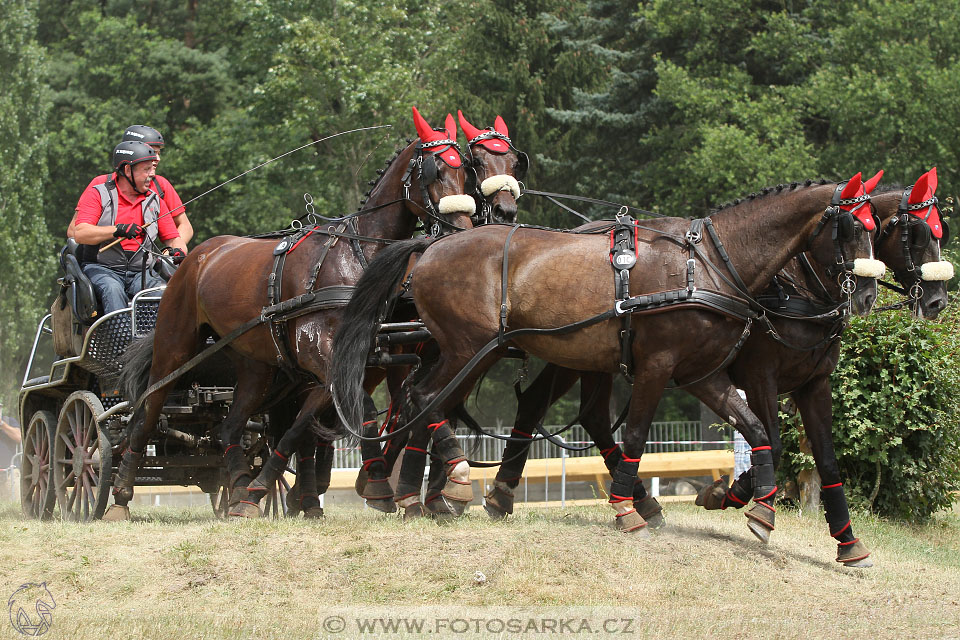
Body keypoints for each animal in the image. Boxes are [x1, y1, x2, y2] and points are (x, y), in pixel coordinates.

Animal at [110, 109, 478, 520]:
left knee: (230, 426)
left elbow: (302, 427)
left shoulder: (343, 366)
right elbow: (362, 410)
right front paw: (379, 484)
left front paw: (262, 491)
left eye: (464, 169)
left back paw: (240, 486)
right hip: (175, 348)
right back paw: (120, 494)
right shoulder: (324, 357)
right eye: (434, 170)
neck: (354, 256)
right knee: (147, 412)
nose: (463, 230)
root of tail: (196, 257)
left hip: (255, 366)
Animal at [332, 171, 884, 536]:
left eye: (877, 226)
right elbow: (637, 432)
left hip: (475, 352)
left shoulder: (701, 374)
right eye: (850, 228)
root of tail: (429, 248)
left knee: (426, 401)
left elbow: (755, 429)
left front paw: (759, 507)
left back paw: (424, 493)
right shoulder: (659, 366)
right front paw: (625, 507)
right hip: (468, 348)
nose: (865, 296)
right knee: (424, 397)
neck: (708, 264)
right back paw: (436, 483)